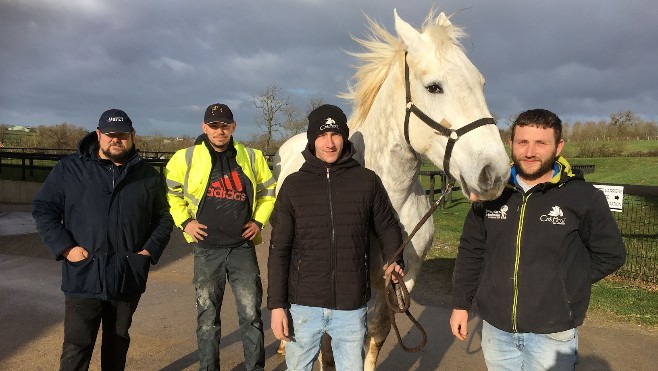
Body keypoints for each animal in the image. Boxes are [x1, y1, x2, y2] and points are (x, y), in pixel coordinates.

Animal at [272, 8, 508, 371]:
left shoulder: (401, 279)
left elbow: (377, 331)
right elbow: (326, 341)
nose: (494, 172)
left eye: (481, 83)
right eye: (434, 87)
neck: (391, 198)